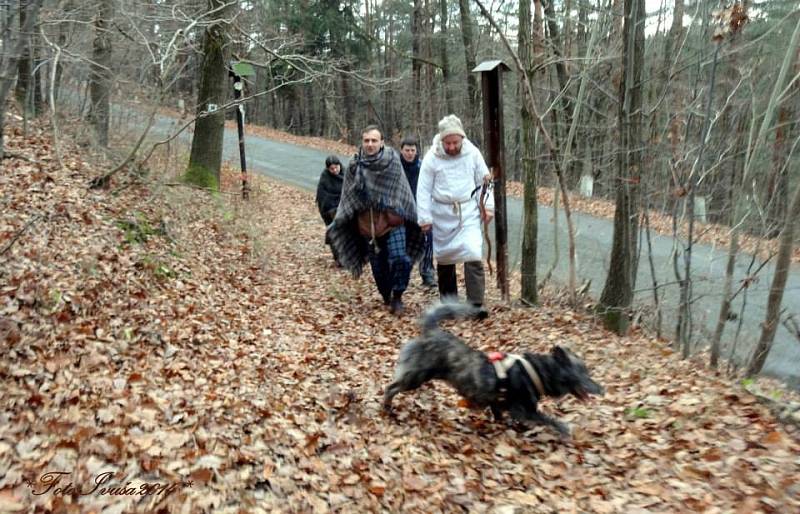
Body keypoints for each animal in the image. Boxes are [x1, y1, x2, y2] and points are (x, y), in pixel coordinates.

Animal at [384, 302, 604, 434]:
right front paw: (563, 430)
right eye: (584, 374)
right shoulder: (524, 411)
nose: (603, 390)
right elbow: (548, 419)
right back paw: (387, 406)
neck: (536, 372)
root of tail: (430, 332)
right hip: (415, 377)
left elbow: (499, 416)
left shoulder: (497, 403)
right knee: (391, 388)